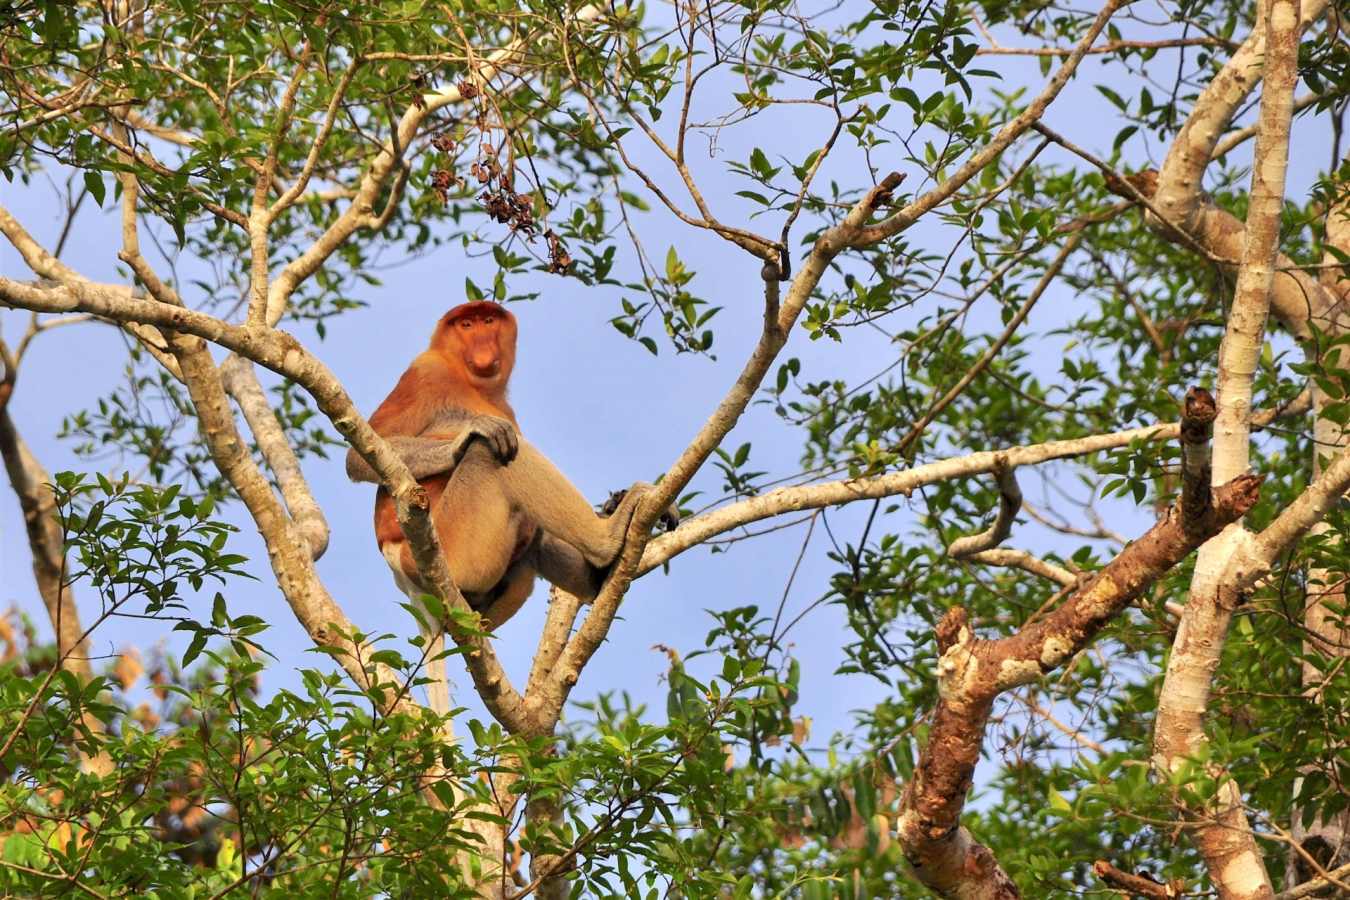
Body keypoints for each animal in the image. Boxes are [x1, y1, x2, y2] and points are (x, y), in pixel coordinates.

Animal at [345, 301, 672, 632]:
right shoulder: (427, 370)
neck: (470, 381)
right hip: (453, 552)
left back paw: (598, 569)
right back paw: (607, 538)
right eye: (466, 325)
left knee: (533, 537)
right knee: (491, 453)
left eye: (488, 321)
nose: (482, 345)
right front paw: (468, 435)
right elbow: (358, 458)